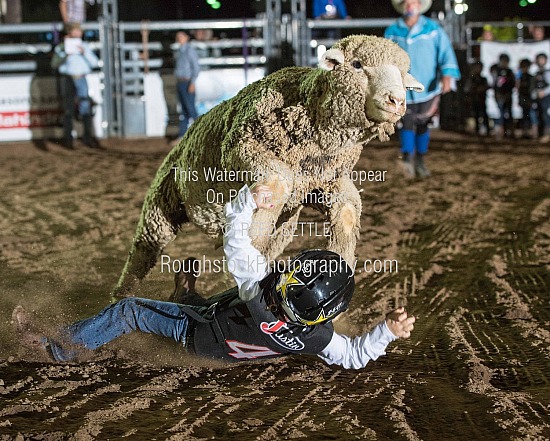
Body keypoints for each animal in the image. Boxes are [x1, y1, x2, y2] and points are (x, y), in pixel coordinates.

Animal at [112, 34, 422, 296]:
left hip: (284, 223)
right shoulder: (242, 148)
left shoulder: (322, 181)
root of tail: (187, 134)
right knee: (144, 249)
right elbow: (277, 183)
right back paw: (122, 294)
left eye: (402, 75)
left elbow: (346, 209)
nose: (397, 100)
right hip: (161, 202)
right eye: (357, 65)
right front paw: (250, 239)